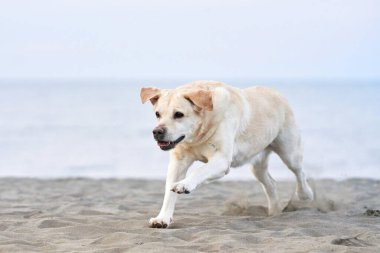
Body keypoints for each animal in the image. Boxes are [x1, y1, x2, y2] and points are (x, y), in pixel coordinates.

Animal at [141, 80, 314, 228]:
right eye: (157, 114)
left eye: (178, 114)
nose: (157, 132)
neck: (198, 135)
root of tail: (276, 92)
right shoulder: (179, 161)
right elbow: (169, 192)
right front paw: (162, 218)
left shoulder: (222, 159)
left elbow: (200, 171)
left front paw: (184, 185)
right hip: (257, 165)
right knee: (271, 183)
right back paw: (274, 212)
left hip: (289, 151)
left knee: (300, 172)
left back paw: (305, 194)